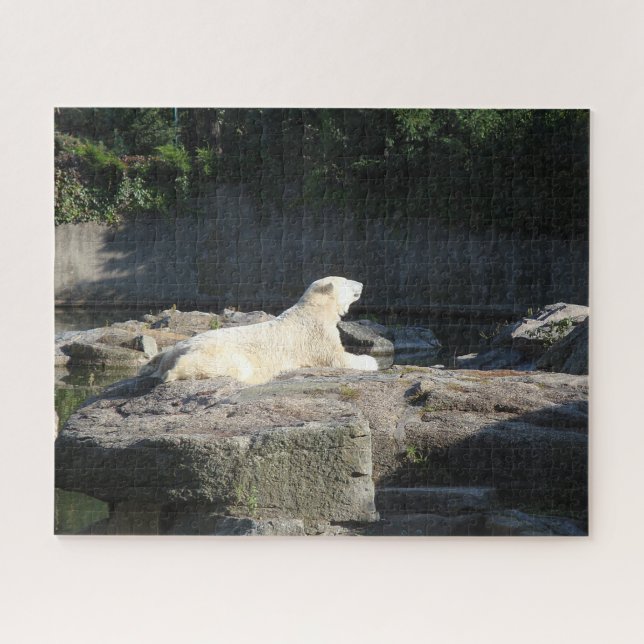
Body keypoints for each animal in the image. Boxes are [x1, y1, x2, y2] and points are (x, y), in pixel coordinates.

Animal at [139, 276, 379, 385]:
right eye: (346, 282)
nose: (361, 284)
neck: (314, 310)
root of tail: (178, 352)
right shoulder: (316, 336)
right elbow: (339, 358)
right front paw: (372, 361)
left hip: (177, 346)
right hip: (219, 354)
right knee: (234, 367)